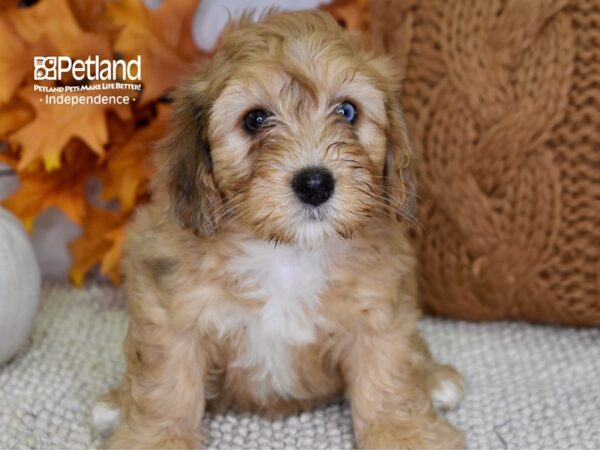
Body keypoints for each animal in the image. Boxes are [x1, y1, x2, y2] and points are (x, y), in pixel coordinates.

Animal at [96, 10, 466, 450]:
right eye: (255, 119)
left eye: (347, 111)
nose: (315, 184)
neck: (288, 253)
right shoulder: (172, 313)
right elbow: (167, 386)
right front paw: (158, 438)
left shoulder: (378, 309)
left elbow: (388, 377)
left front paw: (404, 434)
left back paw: (436, 378)